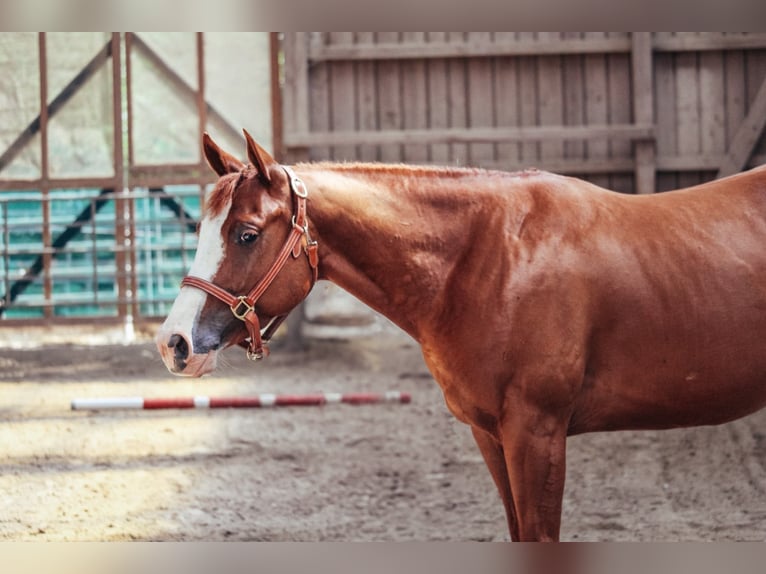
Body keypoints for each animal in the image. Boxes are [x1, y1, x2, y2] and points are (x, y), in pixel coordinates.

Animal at [156, 130, 766, 541]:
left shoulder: (537, 434)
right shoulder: (492, 436)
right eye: (203, 229)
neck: (490, 259)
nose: (174, 342)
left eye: (246, 233)